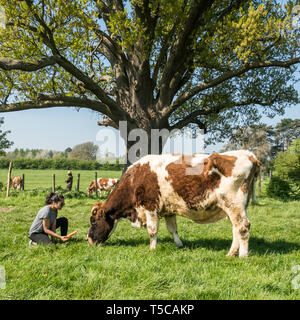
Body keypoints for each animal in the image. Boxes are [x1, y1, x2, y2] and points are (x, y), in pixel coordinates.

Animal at [86, 151, 260, 258]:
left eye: (93, 222)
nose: (88, 240)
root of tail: (249, 155)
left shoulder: (150, 207)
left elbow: (152, 230)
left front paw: (152, 249)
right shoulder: (169, 210)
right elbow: (173, 229)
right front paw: (179, 244)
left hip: (233, 204)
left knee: (243, 227)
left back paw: (242, 256)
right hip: (235, 208)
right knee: (236, 229)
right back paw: (231, 253)